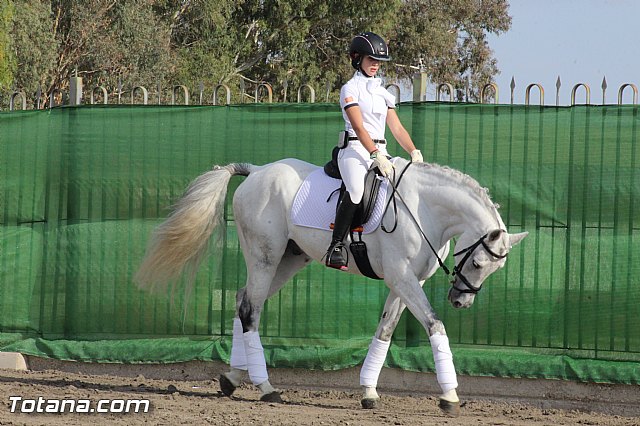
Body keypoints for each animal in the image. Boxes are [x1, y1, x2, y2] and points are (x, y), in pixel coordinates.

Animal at [135, 157, 524, 416]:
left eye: (495, 269)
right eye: (478, 263)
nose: (461, 302)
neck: (423, 208)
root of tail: (257, 171)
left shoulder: (407, 281)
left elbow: (385, 330)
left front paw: (368, 391)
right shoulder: (402, 277)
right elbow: (433, 324)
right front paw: (450, 397)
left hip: (288, 260)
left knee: (243, 301)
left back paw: (232, 378)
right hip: (265, 257)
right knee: (251, 308)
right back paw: (265, 387)